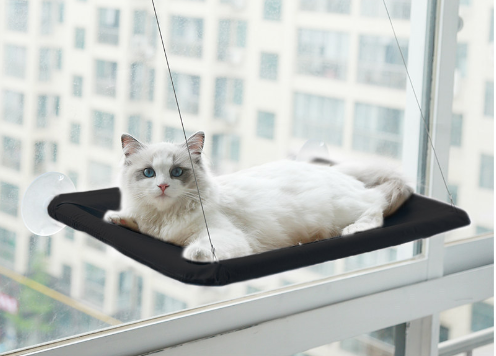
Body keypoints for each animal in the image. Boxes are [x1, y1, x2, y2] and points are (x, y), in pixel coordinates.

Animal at [102, 132, 412, 262]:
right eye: (149, 173)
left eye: (177, 172)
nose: (164, 186)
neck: (165, 218)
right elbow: (136, 223)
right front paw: (117, 218)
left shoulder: (223, 235)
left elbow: (201, 247)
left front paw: (194, 253)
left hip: (343, 209)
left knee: (376, 208)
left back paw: (354, 229)